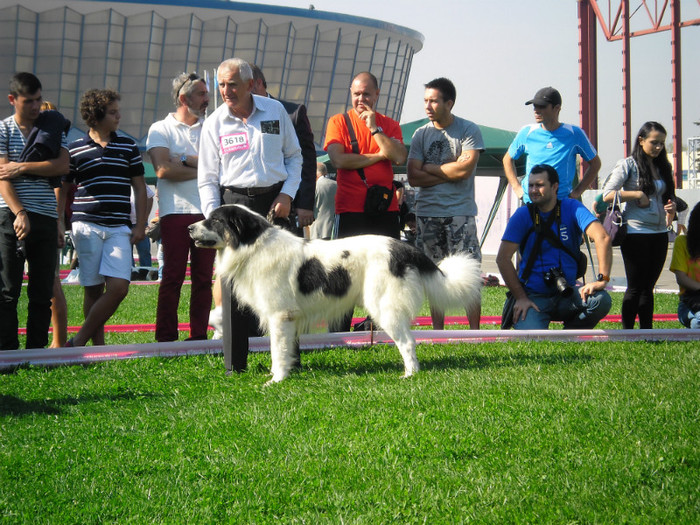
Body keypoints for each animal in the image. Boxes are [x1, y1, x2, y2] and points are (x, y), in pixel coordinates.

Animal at [187, 204, 482, 380]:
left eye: (214, 221)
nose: (189, 227)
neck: (253, 246)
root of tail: (404, 248)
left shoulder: (279, 316)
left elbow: (277, 351)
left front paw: (276, 380)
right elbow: (286, 349)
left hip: (384, 307)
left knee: (408, 342)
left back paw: (409, 375)